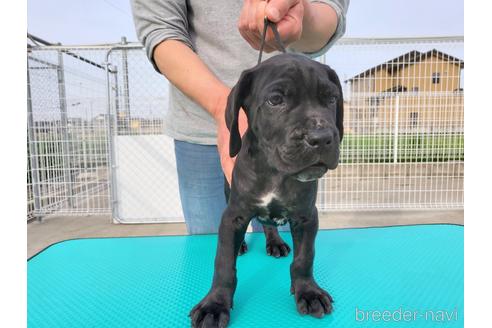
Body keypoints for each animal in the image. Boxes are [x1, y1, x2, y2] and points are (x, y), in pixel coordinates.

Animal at [188, 52, 342, 326]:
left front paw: (308, 292)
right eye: (275, 100)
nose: (321, 137)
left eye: (331, 98)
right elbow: (223, 263)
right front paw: (215, 304)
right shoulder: (233, 215)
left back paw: (276, 242)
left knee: (269, 224)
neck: (275, 172)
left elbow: (304, 258)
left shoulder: (306, 216)